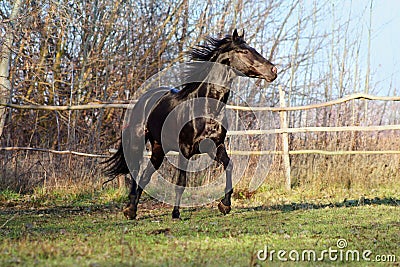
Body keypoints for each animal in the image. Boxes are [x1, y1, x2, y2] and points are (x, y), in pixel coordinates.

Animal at [104, 30, 276, 221]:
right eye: (245, 51)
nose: (273, 70)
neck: (207, 109)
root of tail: (144, 99)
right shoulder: (185, 150)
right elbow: (181, 181)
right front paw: (176, 214)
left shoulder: (215, 146)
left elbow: (229, 166)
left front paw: (225, 205)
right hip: (138, 142)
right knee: (135, 170)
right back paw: (129, 210)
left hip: (158, 149)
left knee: (146, 175)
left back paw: (133, 210)